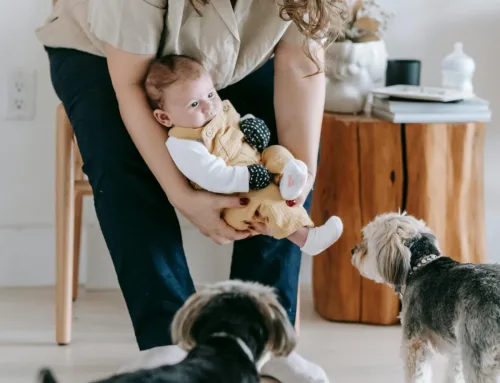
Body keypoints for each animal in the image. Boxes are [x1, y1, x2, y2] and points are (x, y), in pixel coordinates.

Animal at [350, 213, 500, 383]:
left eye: (367, 240)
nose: (353, 250)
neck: (420, 266)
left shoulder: (415, 343)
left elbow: (417, 375)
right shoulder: (457, 349)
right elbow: (454, 374)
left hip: (479, 352)